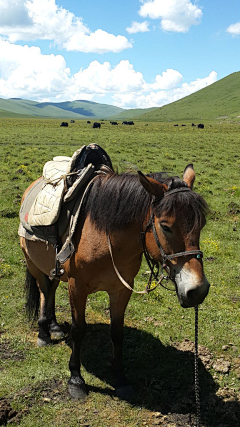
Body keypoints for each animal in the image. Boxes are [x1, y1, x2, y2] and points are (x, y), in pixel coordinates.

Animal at [19, 165, 209, 402]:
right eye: (165, 227)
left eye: (201, 224)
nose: (198, 290)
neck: (105, 237)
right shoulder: (77, 288)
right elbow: (78, 330)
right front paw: (76, 379)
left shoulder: (121, 290)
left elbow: (117, 333)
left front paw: (120, 378)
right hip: (34, 264)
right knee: (45, 291)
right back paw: (44, 332)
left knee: (51, 290)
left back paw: (54, 326)